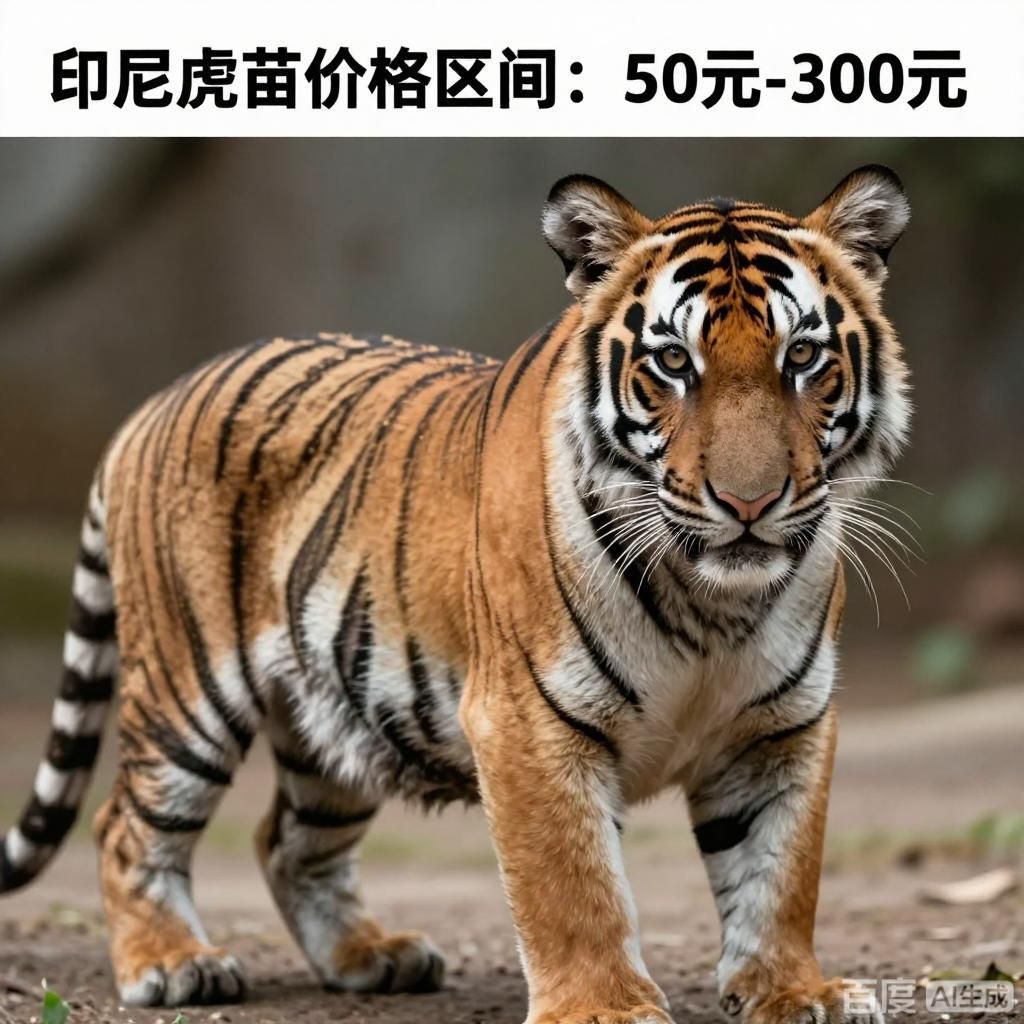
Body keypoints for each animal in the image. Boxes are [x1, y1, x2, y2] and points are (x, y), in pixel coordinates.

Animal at [0, 165, 910, 1024]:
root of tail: (152, 403)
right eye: (674, 363)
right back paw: (171, 963)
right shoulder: (529, 721)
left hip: (337, 716)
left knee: (287, 839)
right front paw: (603, 1007)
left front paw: (795, 992)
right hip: (187, 690)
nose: (749, 503)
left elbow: (779, 875)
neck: (713, 605)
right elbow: (572, 886)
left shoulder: (782, 728)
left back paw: (371, 956)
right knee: (128, 824)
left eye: (803, 358)